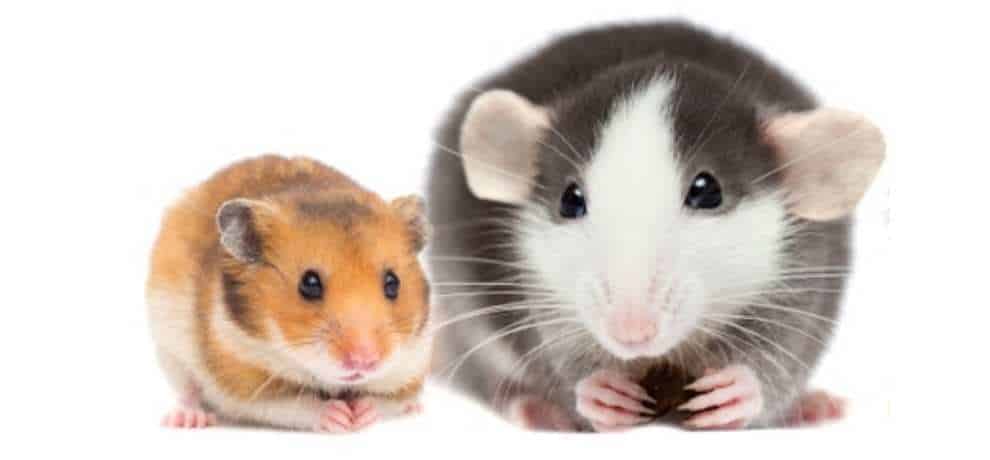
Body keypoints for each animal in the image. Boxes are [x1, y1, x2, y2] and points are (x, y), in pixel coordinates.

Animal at [147, 155, 432, 432]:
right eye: (309, 283)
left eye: (392, 283)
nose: (364, 361)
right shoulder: (242, 382)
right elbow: (295, 405)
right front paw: (339, 416)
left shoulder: (412, 365)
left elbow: (387, 401)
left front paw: (360, 413)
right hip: (170, 349)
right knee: (188, 389)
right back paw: (187, 419)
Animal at [426, 21, 884, 431]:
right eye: (570, 199)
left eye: (707, 191)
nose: (631, 331)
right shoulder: (538, 292)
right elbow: (558, 348)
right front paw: (592, 388)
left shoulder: (802, 277)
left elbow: (786, 349)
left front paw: (743, 387)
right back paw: (532, 408)